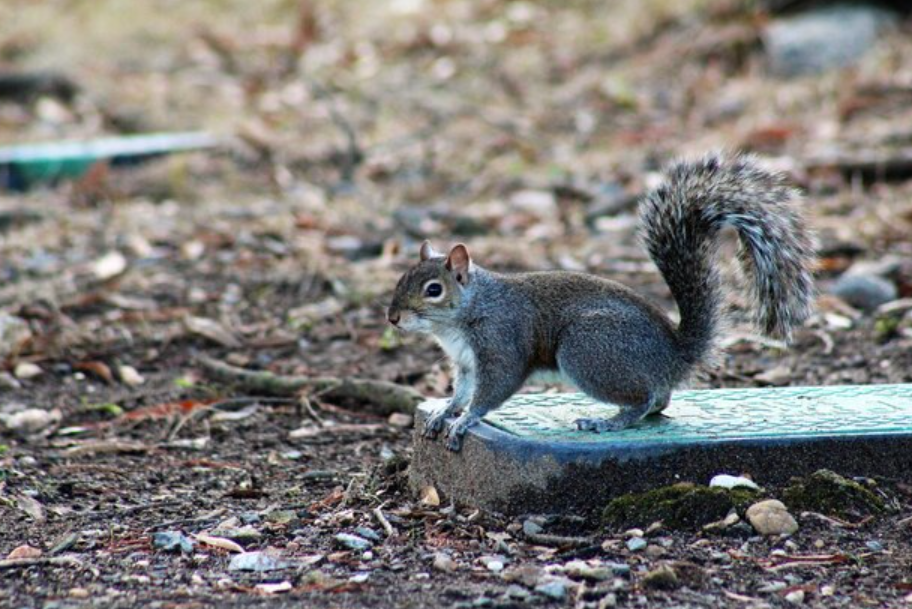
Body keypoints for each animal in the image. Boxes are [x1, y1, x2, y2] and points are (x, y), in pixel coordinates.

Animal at [387, 153, 816, 451]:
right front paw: (445, 412)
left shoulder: (501, 342)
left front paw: (465, 422)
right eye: (401, 279)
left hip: (587, 349)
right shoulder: (464, 363)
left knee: (644, 399)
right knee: (660, 399)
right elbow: (461, 391)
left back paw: (608, 422)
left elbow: (492, 390)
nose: (393, 318)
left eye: (433, 290)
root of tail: (676, 354)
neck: (463, 316)